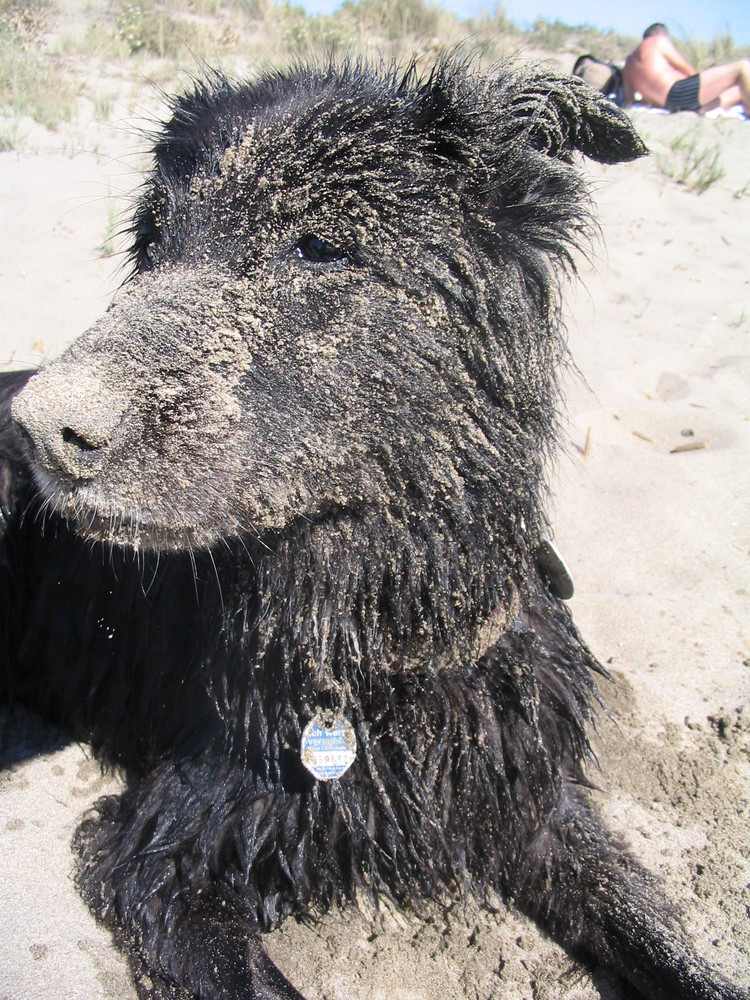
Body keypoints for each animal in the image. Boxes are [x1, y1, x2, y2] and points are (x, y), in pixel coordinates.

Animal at [0, 58, 744, 996]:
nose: (36, 433)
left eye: (320, 246)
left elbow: (659, 932)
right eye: (153, 243)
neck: (383, 637)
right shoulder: (167, 851)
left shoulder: (529, 798)